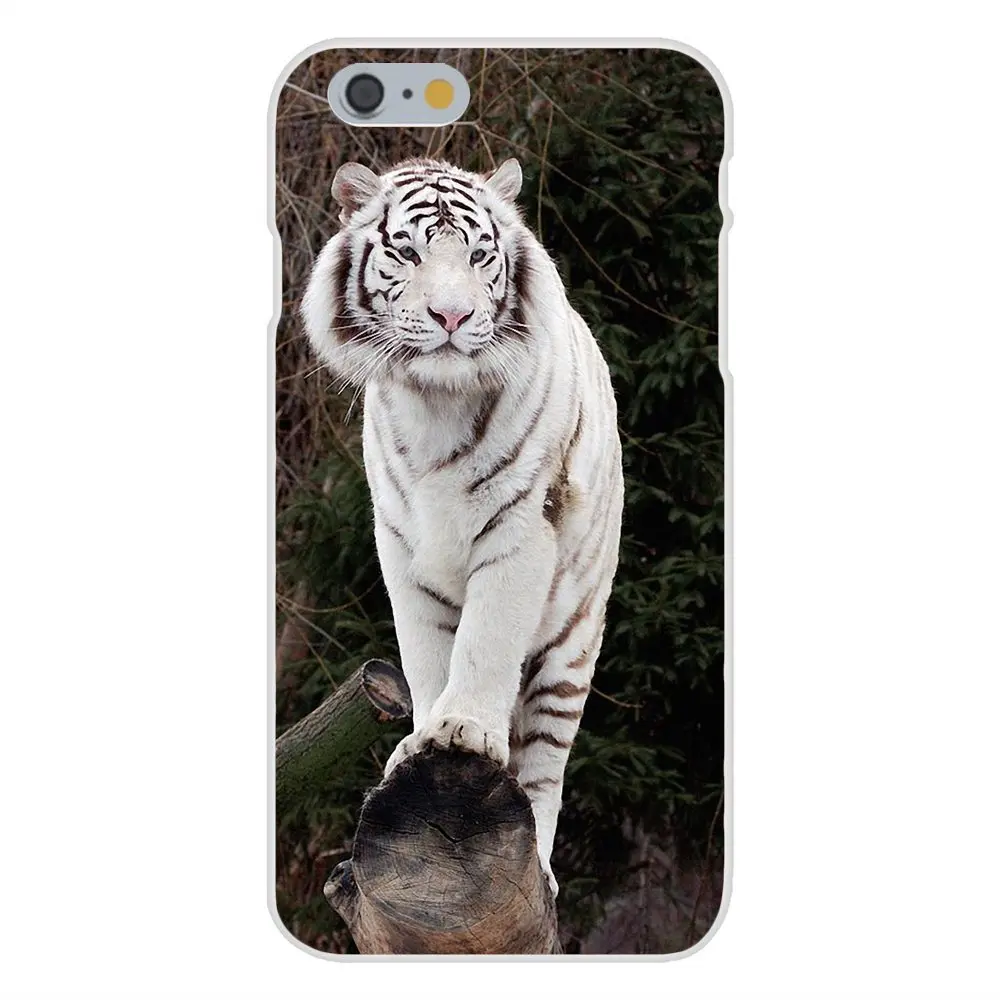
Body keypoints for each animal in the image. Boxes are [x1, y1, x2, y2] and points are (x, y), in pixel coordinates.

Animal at [301, 155, 624, 896]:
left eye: (479, 255)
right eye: (407, 251)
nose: (453, 314)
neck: (436, 402)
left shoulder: (523, 526)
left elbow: (485, 641)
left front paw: (465, 729)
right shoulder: (400, 544)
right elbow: (426, 653)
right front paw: (422, 737)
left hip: (574, 639)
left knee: (544, 763)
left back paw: (539, 863)